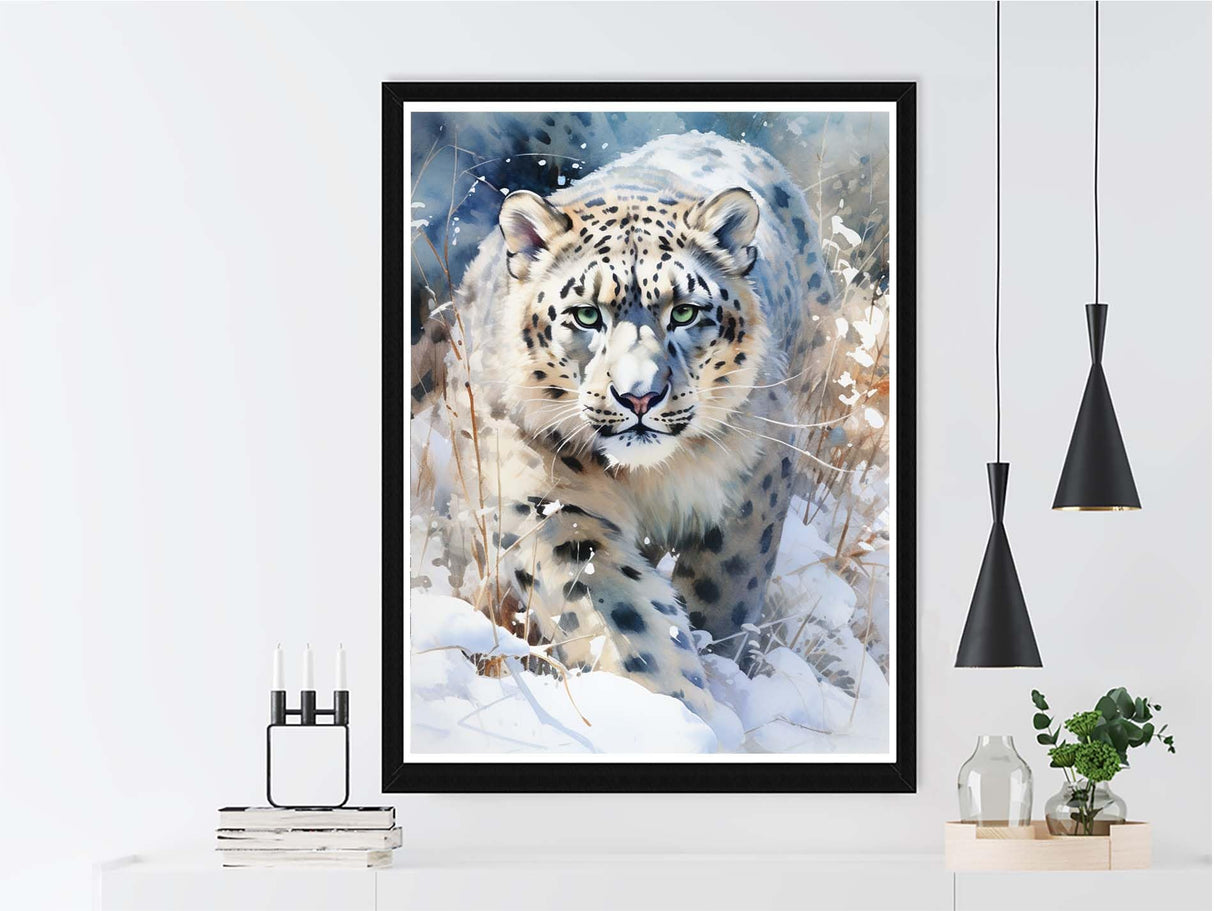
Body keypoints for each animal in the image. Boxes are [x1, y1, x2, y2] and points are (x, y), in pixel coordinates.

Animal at [416, 131, 836, 745]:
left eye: (685, 312)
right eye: (586, 315)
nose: (639, 396)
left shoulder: (757, 480)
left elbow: (725, 593)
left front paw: (712, 675)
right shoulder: (543, 496)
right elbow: (617, 605)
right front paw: (673, 713)